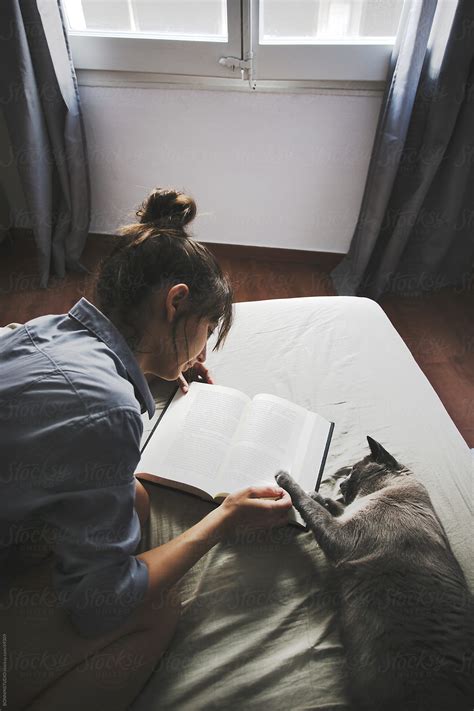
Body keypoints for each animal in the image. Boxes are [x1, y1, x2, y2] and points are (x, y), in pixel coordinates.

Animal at [276, 436, 472, 711]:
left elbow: (310, 506)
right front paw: (320, 494)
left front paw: (286, 478)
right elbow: (329, 505)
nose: (341, 483)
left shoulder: (343, 537)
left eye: (353, 470)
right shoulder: (344, 519)